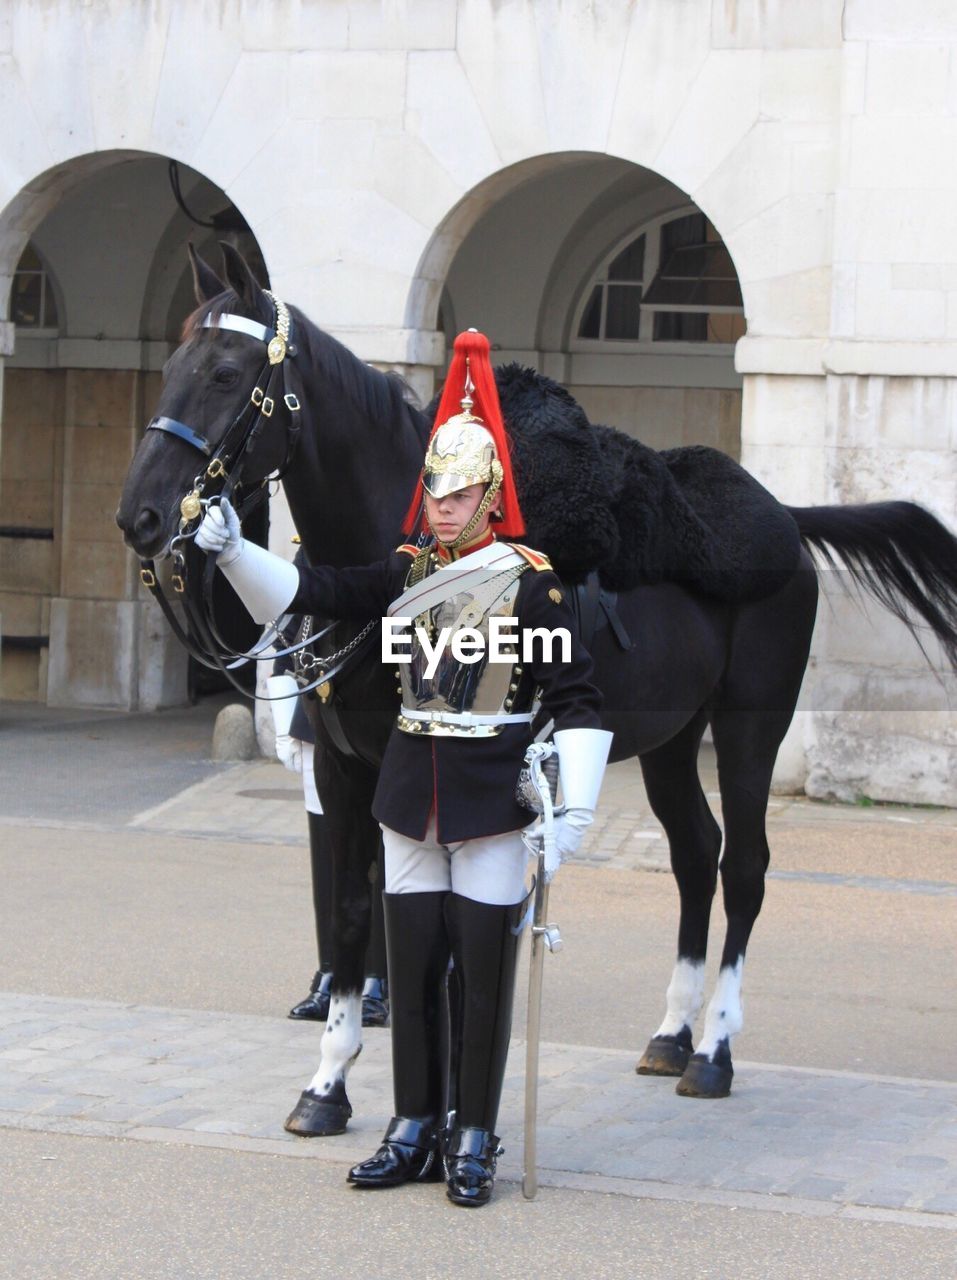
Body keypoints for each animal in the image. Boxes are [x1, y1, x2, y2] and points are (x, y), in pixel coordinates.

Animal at [117, 244, 957, 1136]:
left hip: (747, 729)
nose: (140, 514)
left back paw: (713, 1049)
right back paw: (670, 1033)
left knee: (745, 867)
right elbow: (352, 913)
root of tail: (786, 519)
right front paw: (329, 1082)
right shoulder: (348, 775)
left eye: (225, 372)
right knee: (696, 854)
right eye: (171, 366)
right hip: (668, 739)